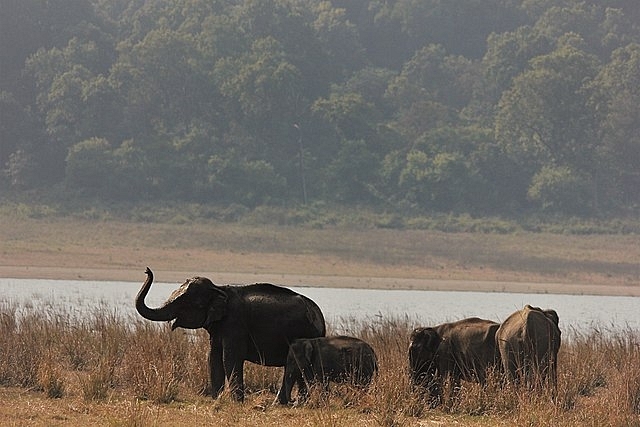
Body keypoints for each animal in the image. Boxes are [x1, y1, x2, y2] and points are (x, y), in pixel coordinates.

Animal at [134, 270, 324, 402]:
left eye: (190, 304)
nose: (147, 270)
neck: (218, 288)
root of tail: (320, 318)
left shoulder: (235, 325)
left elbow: (230, 358)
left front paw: (236, 402)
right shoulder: (218, 328)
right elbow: (213, 357)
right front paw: (216, 400)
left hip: (305, 333)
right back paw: (294, 403)